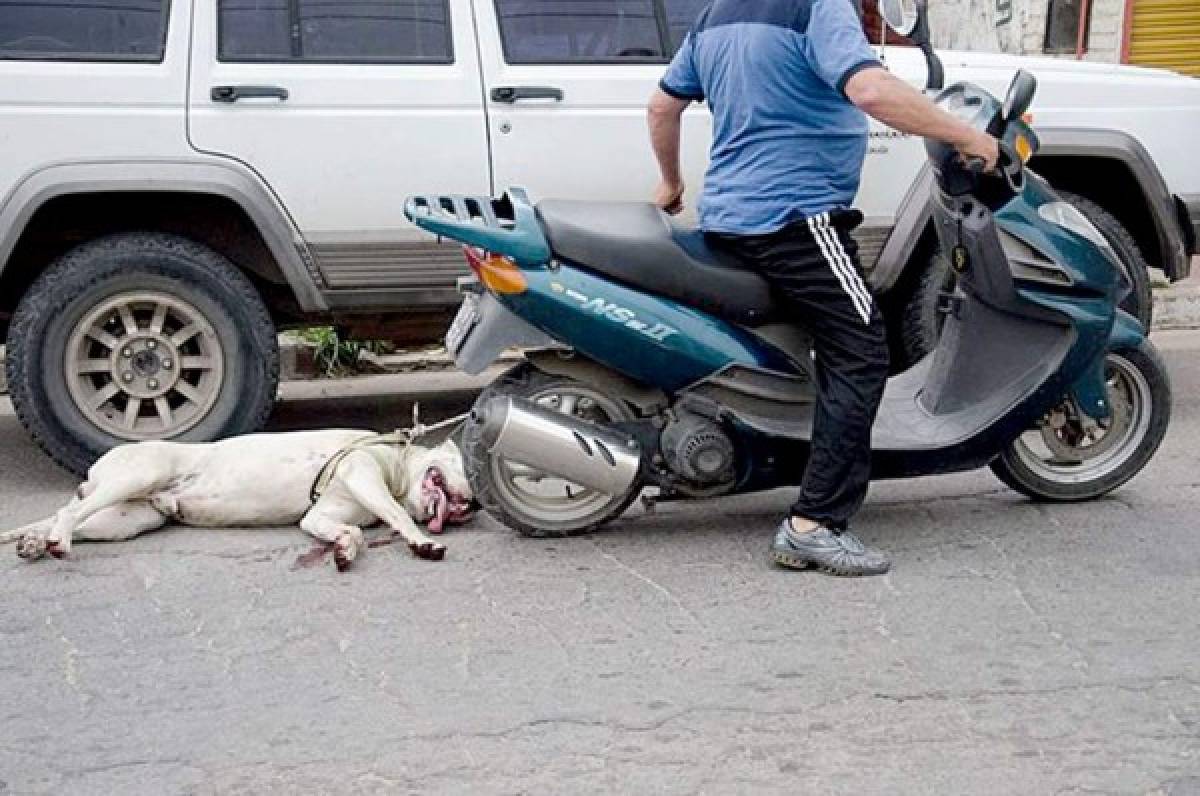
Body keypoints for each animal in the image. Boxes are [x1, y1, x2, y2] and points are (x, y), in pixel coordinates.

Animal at [2, 429, 475, 573]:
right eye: (465, 467)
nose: (473, 506)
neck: (399, 463)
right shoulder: (363, 475)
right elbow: (396, 514)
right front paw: (423, 542)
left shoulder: (321, 515)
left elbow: (350, 530)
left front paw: (344, 549)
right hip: (138, 473)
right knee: (69, 511)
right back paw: (56, 541)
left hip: (126, 519)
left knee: (74, 519)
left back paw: (35, 543)